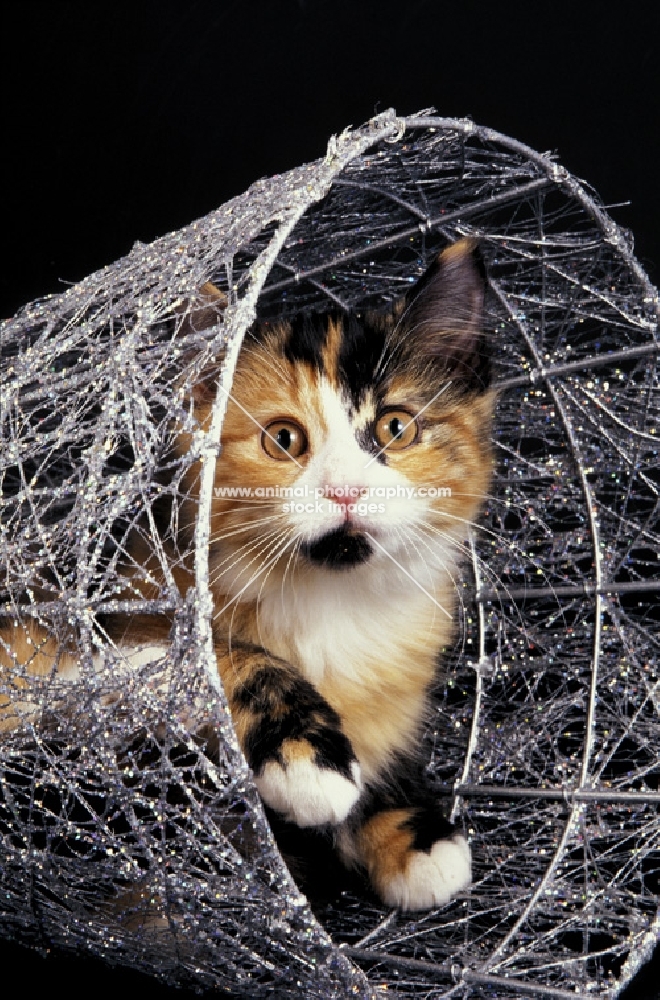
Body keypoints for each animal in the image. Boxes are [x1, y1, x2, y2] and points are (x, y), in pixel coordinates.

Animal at [0, 238, 492, 912]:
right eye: (283, 440)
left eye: (396, 427)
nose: (346, 490)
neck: (330, 598)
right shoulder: (83, 627)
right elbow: (217, 655)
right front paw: (311, 764)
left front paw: (414, 830)